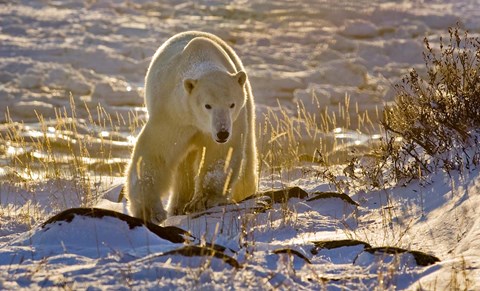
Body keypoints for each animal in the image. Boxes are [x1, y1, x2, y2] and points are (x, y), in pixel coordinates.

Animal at [125, 31, 256, 224]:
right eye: (207, 105)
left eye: (231, 104)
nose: (222, 133)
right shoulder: (174, 114)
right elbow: (155, 154)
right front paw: (149, 211)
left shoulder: (233, 121)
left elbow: (220, 155)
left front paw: (204, 200)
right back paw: (178, 207)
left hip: (246, 110)